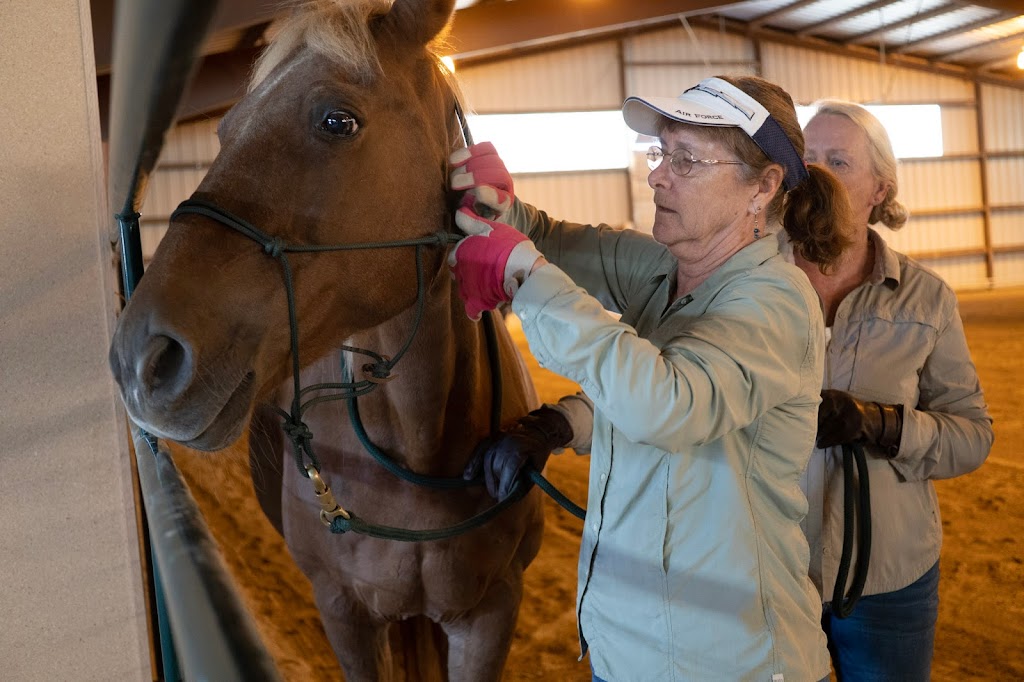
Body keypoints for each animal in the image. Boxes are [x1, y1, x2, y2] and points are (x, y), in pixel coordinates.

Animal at [105, 1, 544, 675]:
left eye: (337, 120)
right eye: (225, 130)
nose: (139, 359)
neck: (418, 447)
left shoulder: (491, 612)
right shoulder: (345, 613)